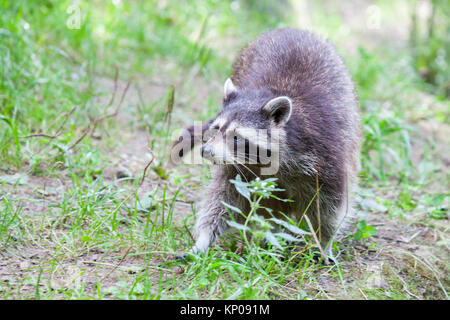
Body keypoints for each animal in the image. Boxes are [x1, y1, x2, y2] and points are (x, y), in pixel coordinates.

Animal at [174, 26, 360, 258]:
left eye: (236, 137)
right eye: (216, 129)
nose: (206, 151)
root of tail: (293, 29)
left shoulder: (325, 155)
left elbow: (328, 206)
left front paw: (324, 241)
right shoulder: (236, 168)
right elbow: (223, 200)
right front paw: (204, 237)